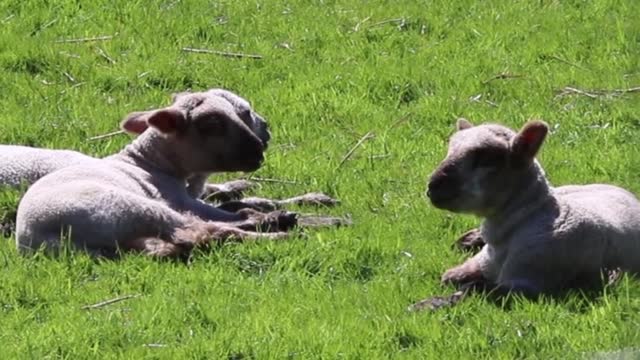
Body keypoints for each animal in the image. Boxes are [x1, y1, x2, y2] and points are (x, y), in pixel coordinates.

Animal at [13, 91, 296, 258]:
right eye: (211, 124)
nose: (259, 150)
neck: (151, 162)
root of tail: (40, 238)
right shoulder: (178, 199)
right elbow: (221, 214)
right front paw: (265, 216)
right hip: (132, 207)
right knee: (204, 230)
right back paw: (278, 229)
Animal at [412, 119, 640, 306]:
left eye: (487, 158)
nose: (433, 186)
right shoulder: (477, 265)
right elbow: (449, 277)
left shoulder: (526, 283)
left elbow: (473, 289)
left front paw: (425, 305)